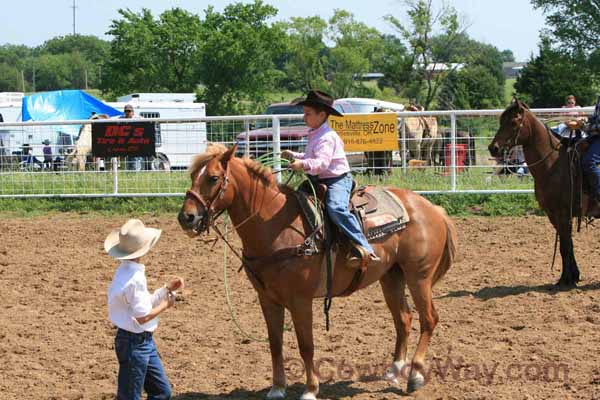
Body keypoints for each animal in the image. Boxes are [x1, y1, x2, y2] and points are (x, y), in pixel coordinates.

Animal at [176, 143, 458, 396]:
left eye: (213, 178)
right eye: (192, 175)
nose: (186, 218)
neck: (276, 226)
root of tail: (431, 208)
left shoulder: (300, 301)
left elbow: (306, 345)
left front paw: (310, 390)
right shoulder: (267, 299)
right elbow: (275, 344)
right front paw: (277, 388)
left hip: (419, 276)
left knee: (428, 319)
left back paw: (415, 376)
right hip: (391, 276)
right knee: (403, 318)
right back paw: (394, 370)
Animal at [490, 100, 580, 288]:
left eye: (513, 122)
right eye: (501, 121)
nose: (493, 148)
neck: (553, 164)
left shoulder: (563, 213)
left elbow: (565, 246)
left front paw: (565, 279)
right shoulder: (553, 214)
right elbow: (567, 244)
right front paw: (573, 276)